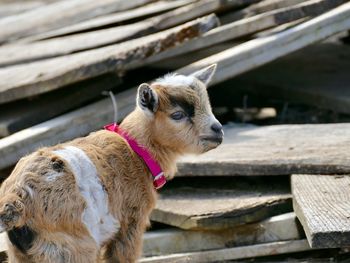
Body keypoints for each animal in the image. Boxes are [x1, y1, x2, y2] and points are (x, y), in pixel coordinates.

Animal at [0, 64, 223, 263]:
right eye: (178, 115)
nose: (218, 130)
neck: (136, 151)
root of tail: (19, 196)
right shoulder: (131, 222)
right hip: (71, 246)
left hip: (23, 253)